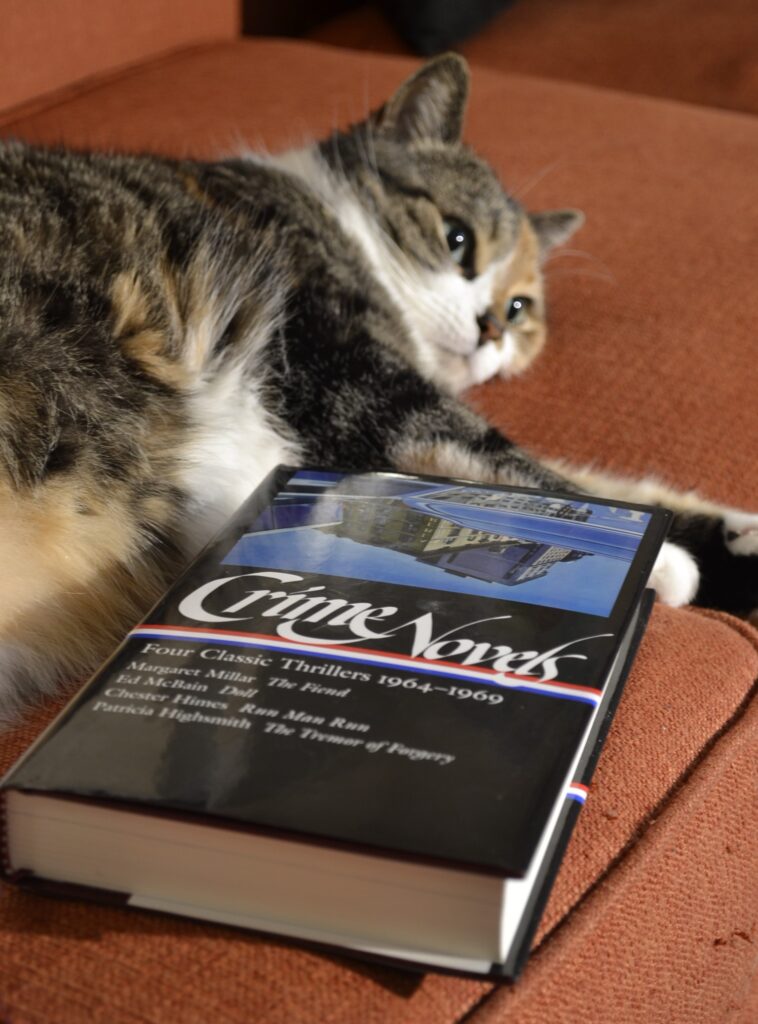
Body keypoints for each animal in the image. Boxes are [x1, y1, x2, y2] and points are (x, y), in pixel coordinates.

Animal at [0, 51, 753, 724]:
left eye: (518, 311)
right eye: (457, 238)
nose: (489, 329)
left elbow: (596, 483)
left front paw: (730, 542)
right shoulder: (347, 372)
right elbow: (511, 463)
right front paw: (664, 563)